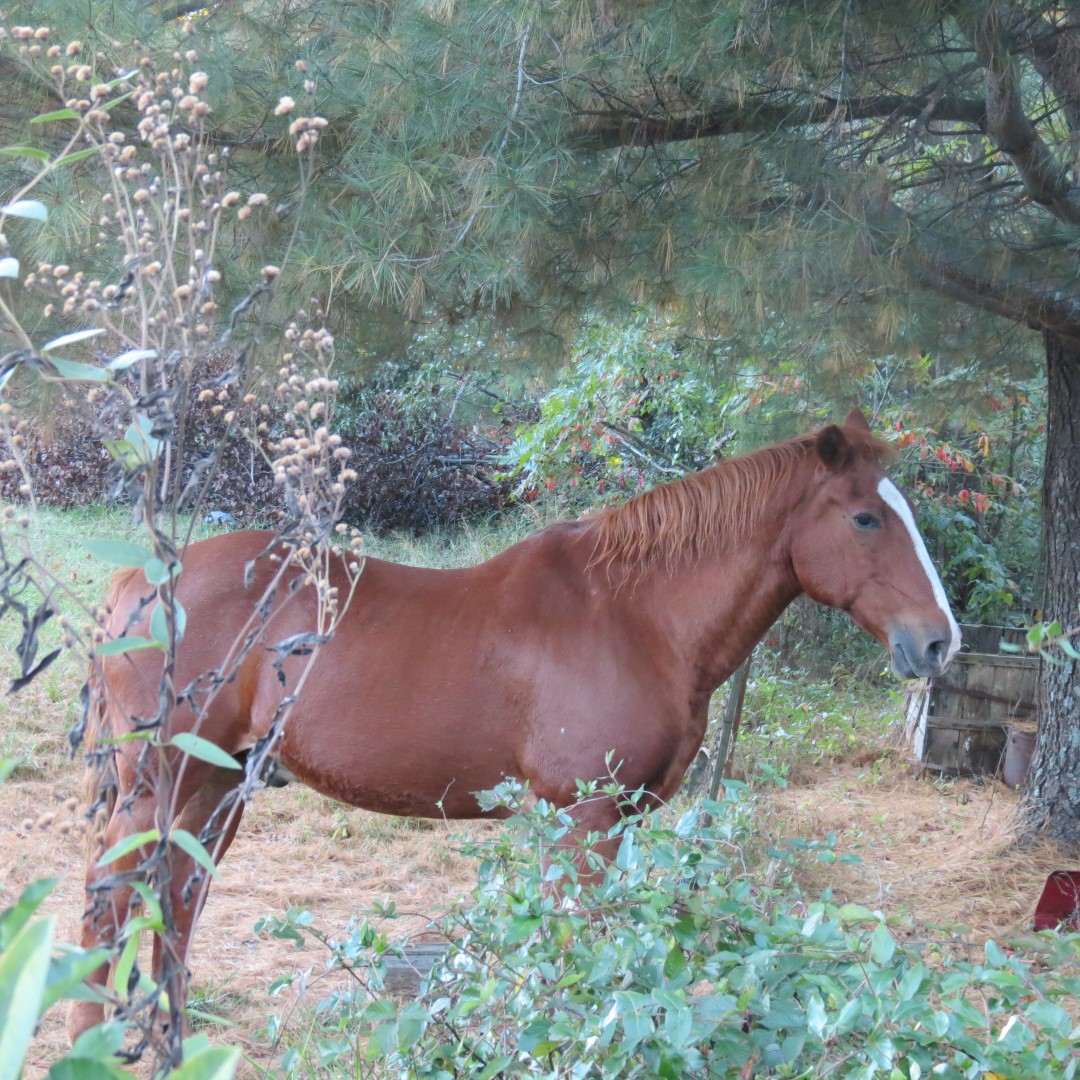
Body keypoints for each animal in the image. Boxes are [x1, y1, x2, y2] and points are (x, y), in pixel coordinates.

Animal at [67, 408, 960, 1043]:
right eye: (866, 519)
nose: (938, 641)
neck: (634, 617)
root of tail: (133, 585)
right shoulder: (582, 817)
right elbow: (577, 953)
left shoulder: (612, 820)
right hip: (159, 782)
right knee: (110, 897)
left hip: (220, 782)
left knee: (174, 899)